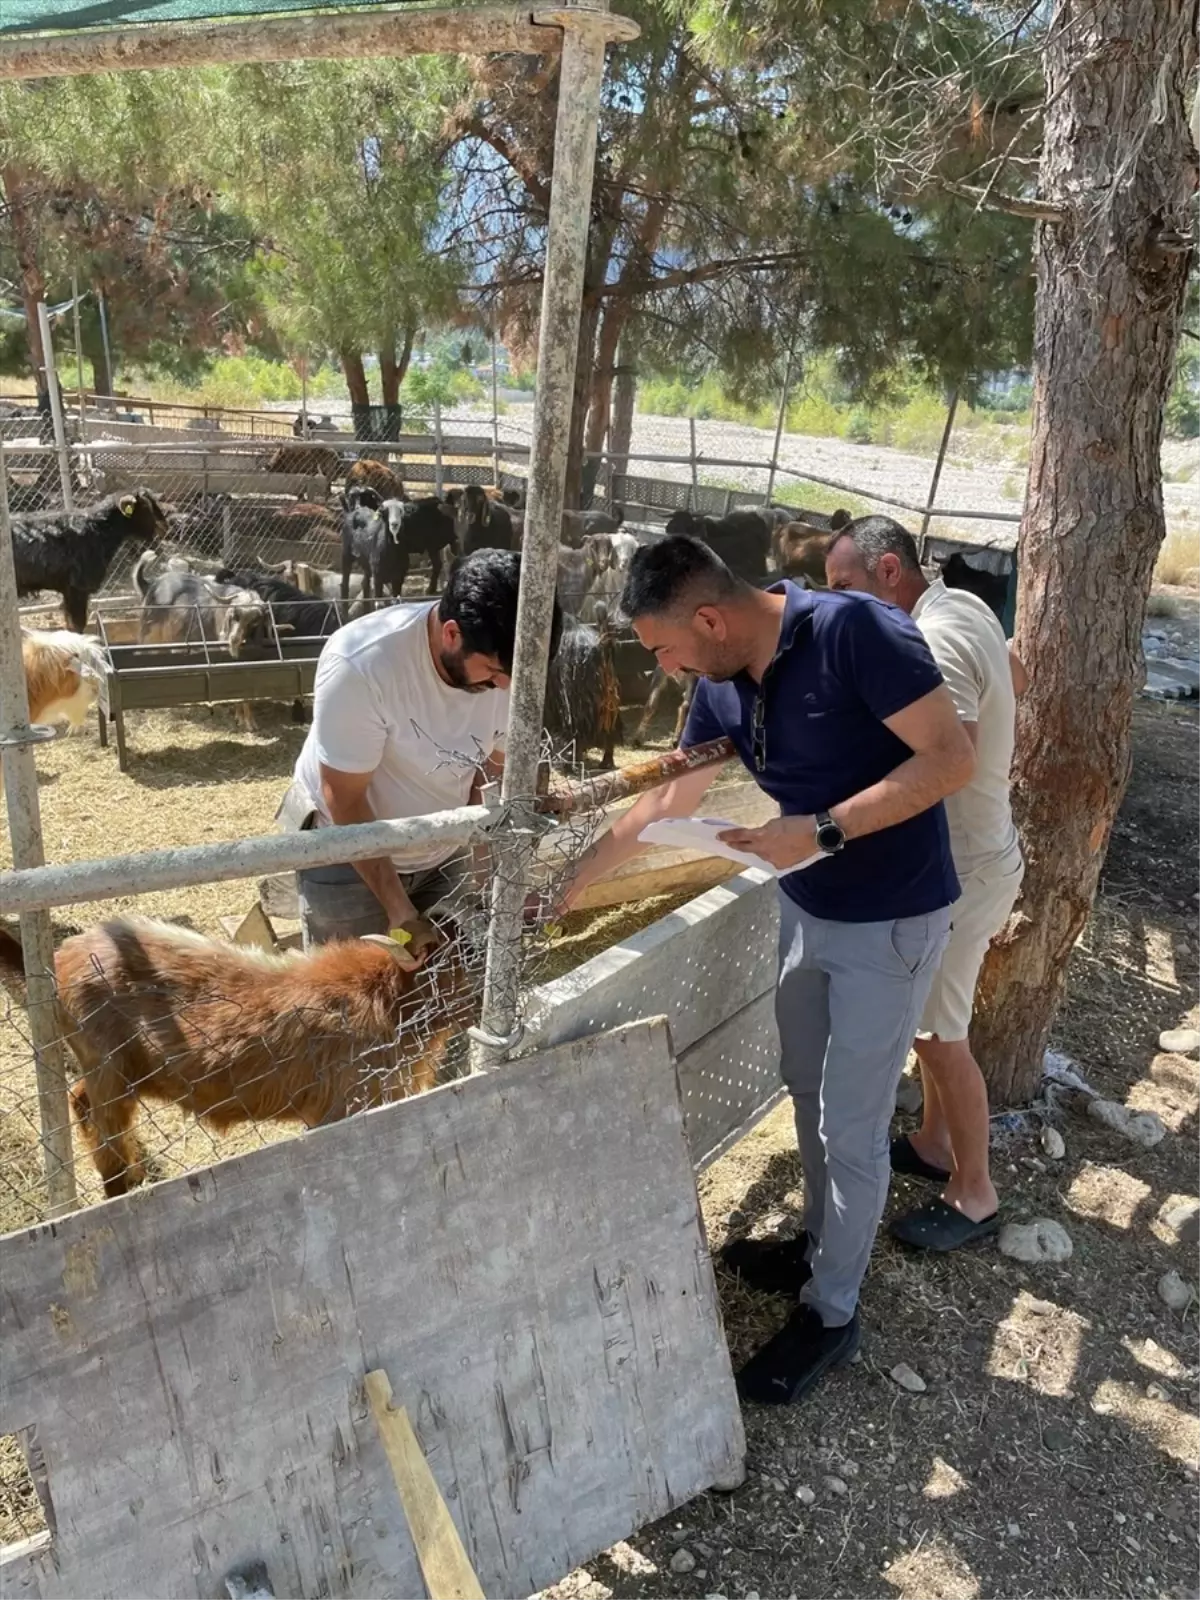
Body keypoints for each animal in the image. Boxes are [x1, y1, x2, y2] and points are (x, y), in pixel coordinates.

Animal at [0, 915, 473, 1203]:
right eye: (458, 956)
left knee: (83, 1105)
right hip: (107, 1071)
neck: (386, 999)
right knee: (102, 1130)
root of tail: (60, 959)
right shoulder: (344, 1105)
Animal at [12, 483, 169, 627]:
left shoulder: (68, 590)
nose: (164, 527)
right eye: (145, 507)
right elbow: (77, 625)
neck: (98, 530)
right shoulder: (78, 588)